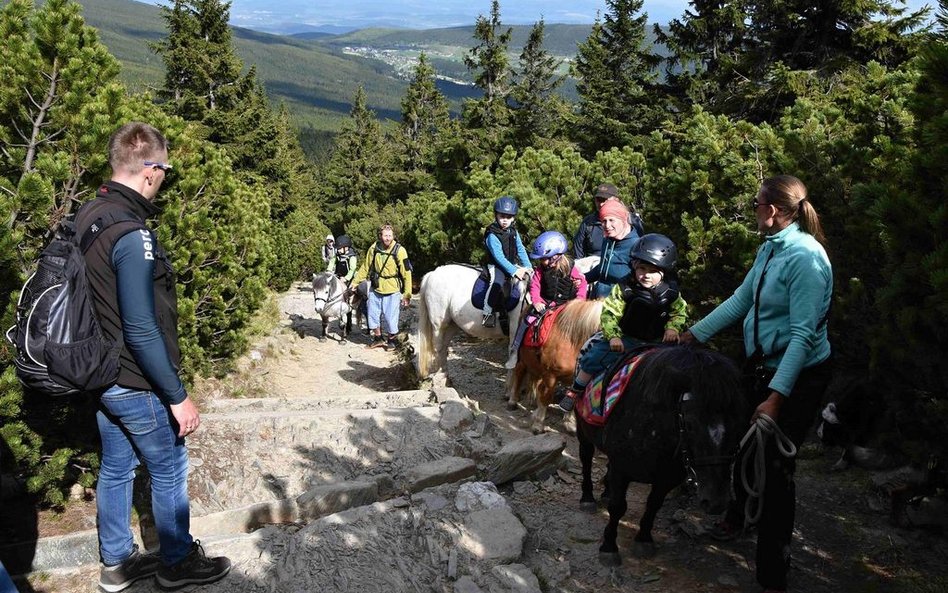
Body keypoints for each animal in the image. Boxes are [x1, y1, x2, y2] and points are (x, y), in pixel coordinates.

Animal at [508, 300, 604, 430]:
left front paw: (569, 423)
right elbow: (547, 397)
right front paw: (538, 423)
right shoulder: (551, 375)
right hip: (523, 358)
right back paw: (512, 401)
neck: (572, 341)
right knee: (519, 372)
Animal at [576, 344, 748, 568]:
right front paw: (609, 547)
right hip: (583, 433)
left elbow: (653, 506)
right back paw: (587, 498)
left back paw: (605, 493)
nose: (716, 502)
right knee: (586, 460)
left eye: (739, 425)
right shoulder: (622, 470)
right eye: (690, 424)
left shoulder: (666, 479)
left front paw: (643, 540)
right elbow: (618, 507)